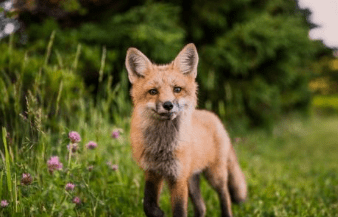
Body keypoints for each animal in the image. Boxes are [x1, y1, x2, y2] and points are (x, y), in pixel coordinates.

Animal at [125, 43, 247, 216]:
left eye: (177, 89)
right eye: (153, 91)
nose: (168, 105)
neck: (162, 147)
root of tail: (213, 117)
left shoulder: (178, 178)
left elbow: (179, 210)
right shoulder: (153, 172)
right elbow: (147, 204)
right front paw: (158, 212)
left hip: (214, 175)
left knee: (225, 196)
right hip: (192, 179)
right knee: (202, 207)